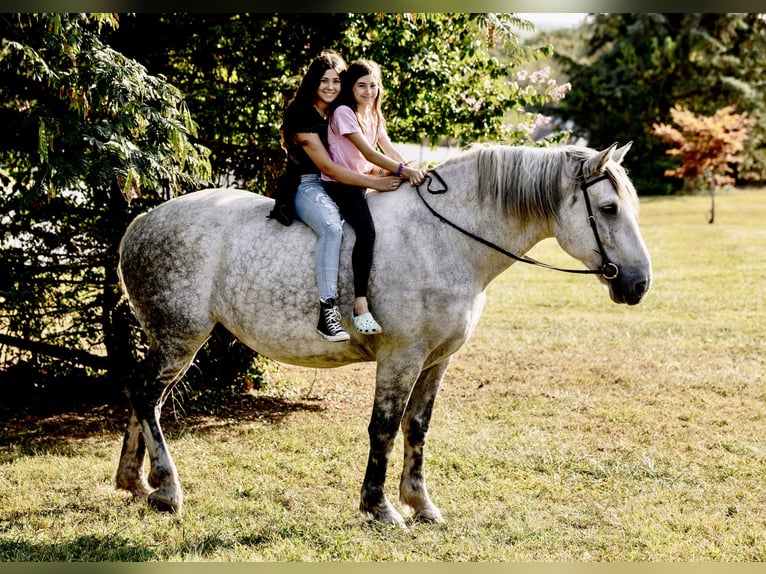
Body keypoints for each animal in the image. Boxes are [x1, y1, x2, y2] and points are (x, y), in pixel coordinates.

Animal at [115, 143, 656, 528]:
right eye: (609, 208)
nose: (639, 283)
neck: (444, 239)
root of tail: (141, 222)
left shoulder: (436, 360)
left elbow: (417, 427)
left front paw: (420, 503)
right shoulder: (401, 358)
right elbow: (385, 428)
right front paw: (379, 508)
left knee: (141, 397)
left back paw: (134, 483)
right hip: (180, 338)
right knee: (146, 396)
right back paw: (167, 488)